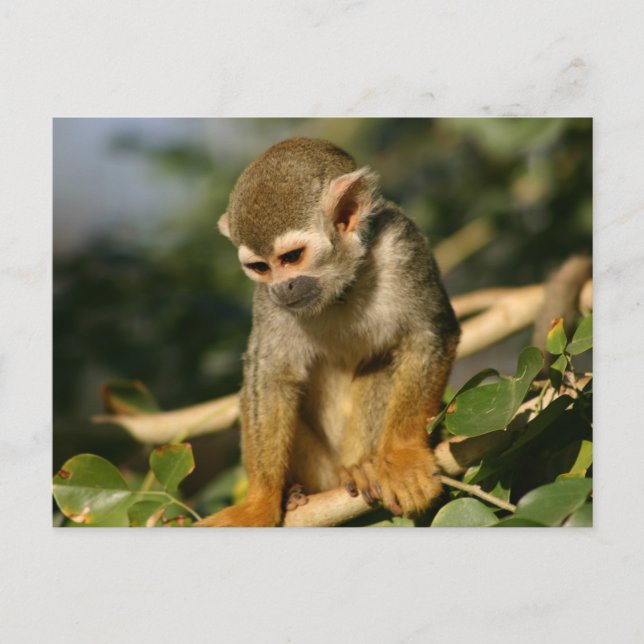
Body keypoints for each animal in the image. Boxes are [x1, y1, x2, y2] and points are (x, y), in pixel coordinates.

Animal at [196, 137, 460, 527]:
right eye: (260, 267)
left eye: (291, 257)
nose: (284, 288)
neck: (339, 288)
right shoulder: (266, 301)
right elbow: (270, 380)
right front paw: (259, 503)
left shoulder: (403, 245)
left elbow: (428, 335)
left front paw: (403, 456)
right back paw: (296, 493)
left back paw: (362, 467)